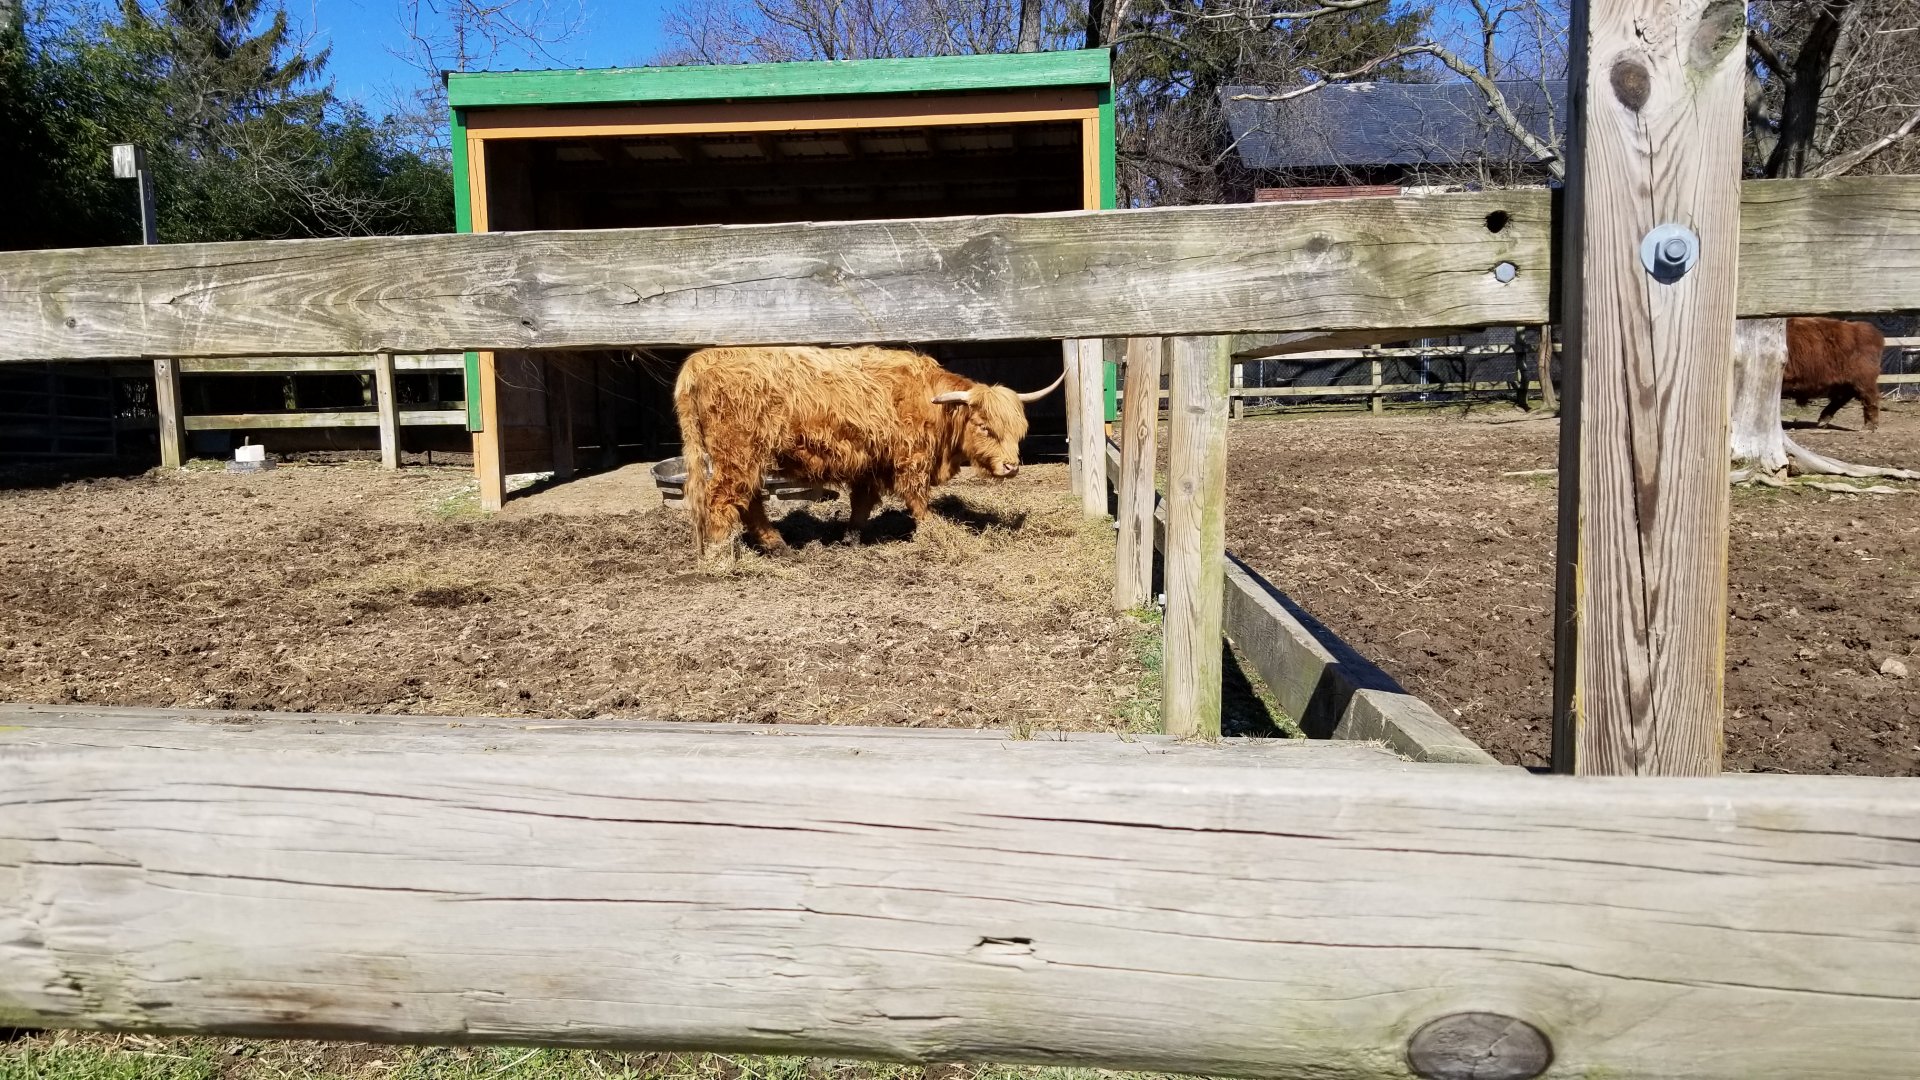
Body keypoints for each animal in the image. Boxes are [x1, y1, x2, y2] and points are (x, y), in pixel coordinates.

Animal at [673, 346, 1065, 556]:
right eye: (984, 427)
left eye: (1018, 431)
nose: (1011, 466)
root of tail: (702, 359)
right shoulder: (911, 459)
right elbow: (918, 500)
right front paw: (935, 533)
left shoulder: (871, 462)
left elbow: (862, 502)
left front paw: (851, 538)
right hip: (737, 453)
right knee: (722, 499)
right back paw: (724, 555)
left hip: (747, 456)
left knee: (749, 499)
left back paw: (777, 545)